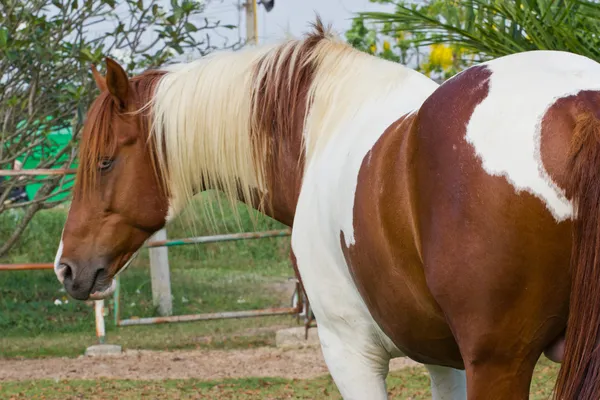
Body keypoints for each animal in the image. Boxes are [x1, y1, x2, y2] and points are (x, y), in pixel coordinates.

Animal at [55, 21, 600, 400]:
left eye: (105, 161)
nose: (66, 268)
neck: (324, 126)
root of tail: (577, 108)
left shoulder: (351, 352)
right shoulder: (445, 360)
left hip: (499, 363)